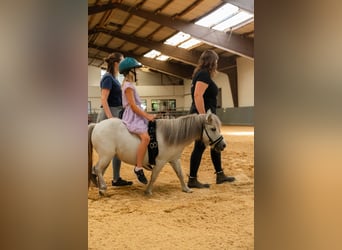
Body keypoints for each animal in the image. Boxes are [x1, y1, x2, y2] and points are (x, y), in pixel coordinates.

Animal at [89, 111, 226, 195]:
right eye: (213, 128)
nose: (223, 145)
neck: (170, 136)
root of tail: (97, 125)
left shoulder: (174, 160)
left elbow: (180, 174)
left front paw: (186, 189)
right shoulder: (160, 161)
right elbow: (154, 176)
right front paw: (148, 191)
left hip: (107, 157)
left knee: (97, 170)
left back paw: (98, 185)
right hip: (106, 156)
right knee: (98, 169)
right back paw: (102, 189)